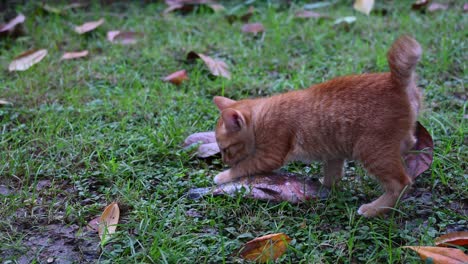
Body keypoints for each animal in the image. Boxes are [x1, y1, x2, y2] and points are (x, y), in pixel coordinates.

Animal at [214, 35, 422, 217]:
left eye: (226, 149)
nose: (224, 161)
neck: (261, 116)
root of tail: (394, 80)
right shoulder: (334, 153)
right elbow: (333, 175)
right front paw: (324, 186)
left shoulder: (269, 156)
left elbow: (244, 166)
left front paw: (224, 175)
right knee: (411, 142)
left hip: (371, 150)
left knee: (401, 182)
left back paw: (374, 209)